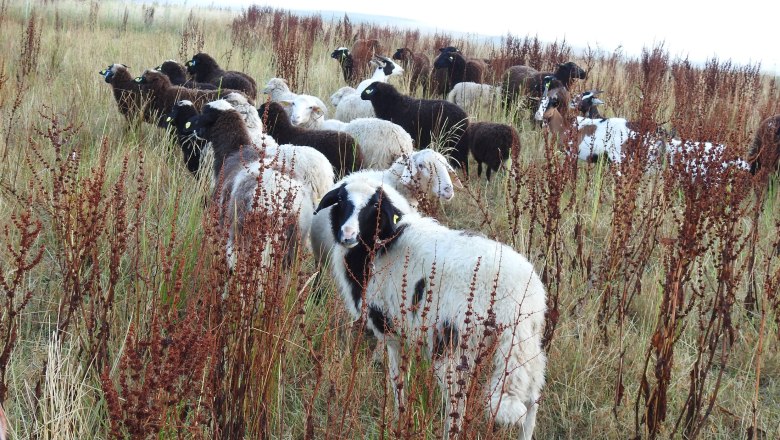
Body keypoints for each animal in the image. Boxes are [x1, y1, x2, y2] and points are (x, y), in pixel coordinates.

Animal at [315, 177, 546, 439]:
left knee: (457, 404)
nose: (348, 235)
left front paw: (398, 418)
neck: (382, 244)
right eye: (341, 199)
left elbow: (397, 378)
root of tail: (518, 299)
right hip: (527, 347)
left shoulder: (392, 331)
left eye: (375, 206)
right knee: (532, 399)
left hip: (453, 345)